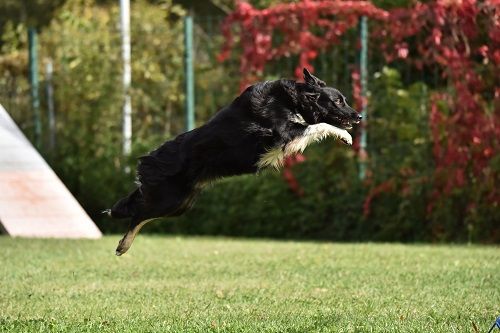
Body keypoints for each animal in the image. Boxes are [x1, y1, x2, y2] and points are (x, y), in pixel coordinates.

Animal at [108, 68, 360, 254]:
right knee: (138, 214)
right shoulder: (283, 133)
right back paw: (123, 244)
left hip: (181, 204)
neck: (294, 101)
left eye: (344, 100)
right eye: (338, 101)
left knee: (140, 213)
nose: (359, 116)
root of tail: (150, 159)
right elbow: (321, 125)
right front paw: (345, 136)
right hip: (168, 199)